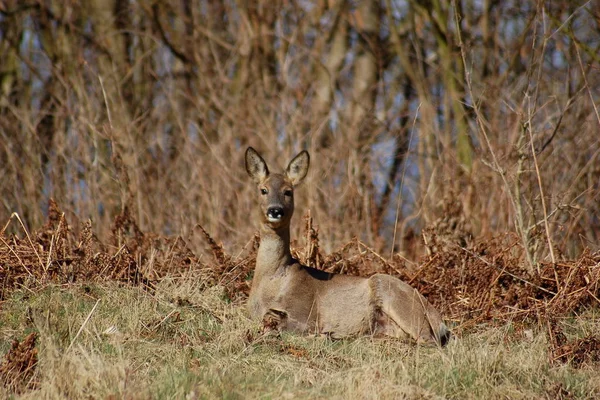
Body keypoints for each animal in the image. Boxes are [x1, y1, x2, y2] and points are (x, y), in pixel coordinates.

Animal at [245, 148, 450, 346]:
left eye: (288, 191)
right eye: (263, 190)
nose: (275, 210)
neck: (273, 280)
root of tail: (441, 322)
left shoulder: (306, 312)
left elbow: (282, 322)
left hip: (391, 291)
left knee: (428, 341)